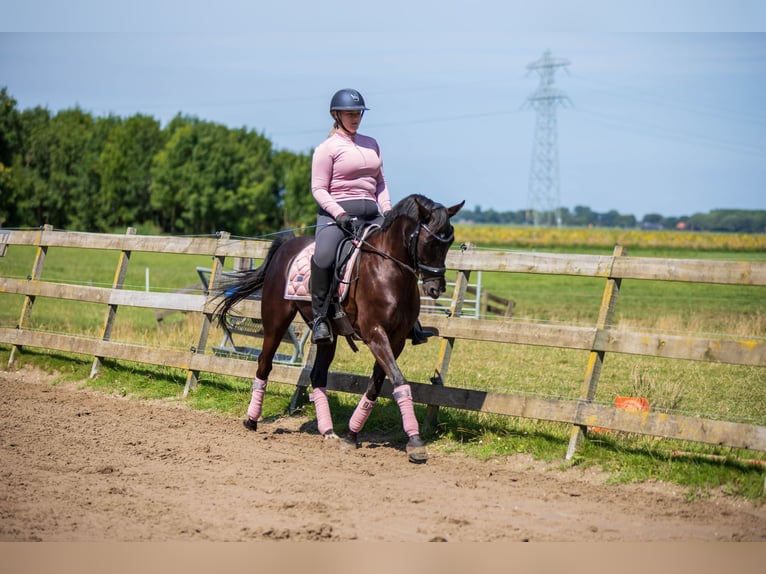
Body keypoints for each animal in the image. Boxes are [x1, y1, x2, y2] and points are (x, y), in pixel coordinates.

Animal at [218, 195, 468, 464]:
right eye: (428, 241)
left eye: (449, 241)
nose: (436, 288)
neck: (389, 270)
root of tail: (288, 244)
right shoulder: (375, 334)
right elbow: (399, 381)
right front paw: (415, 442)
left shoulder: (397, 340)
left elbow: (376, 385)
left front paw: (351, 435)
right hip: (276, 321)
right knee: (264, 363)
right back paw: (251, 420)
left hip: (329, 335)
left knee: (317, 375)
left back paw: (328, 431)